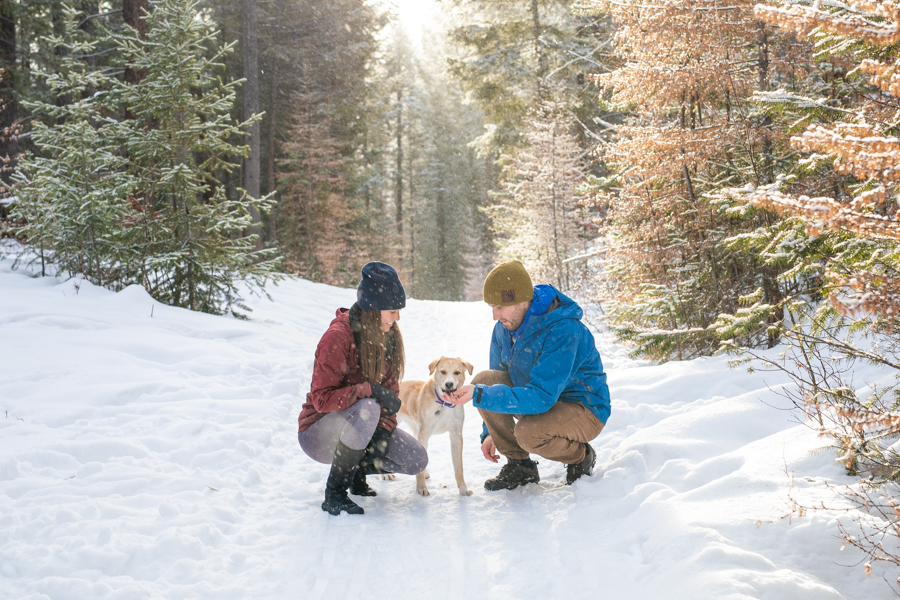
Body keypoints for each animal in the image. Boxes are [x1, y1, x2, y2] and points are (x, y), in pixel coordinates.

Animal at [398, 356, 474, 496]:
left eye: (457, 372)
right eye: (443, 371)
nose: (449, 384)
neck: (445, 404)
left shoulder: (456, 435)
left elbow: (459, 467)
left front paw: (463, 488)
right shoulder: (424, 434)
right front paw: (421, 488)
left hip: (416, 431)